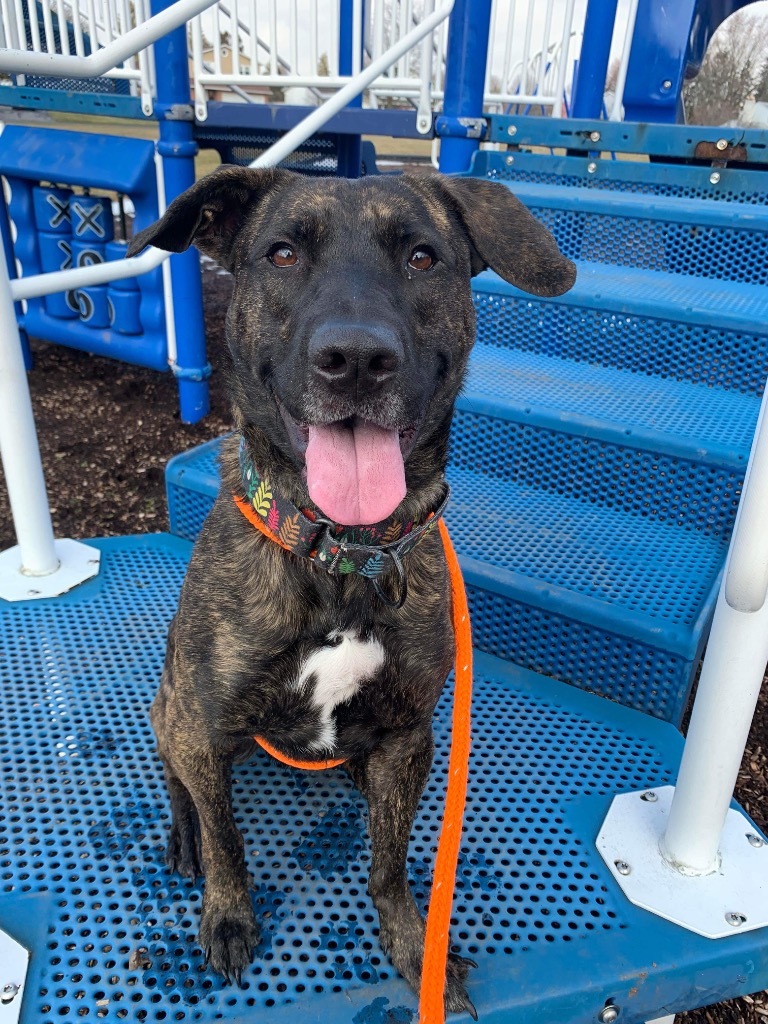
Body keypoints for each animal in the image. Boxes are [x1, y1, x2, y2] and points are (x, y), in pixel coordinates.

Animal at [129, 163, 577, 1011]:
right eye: (280, 254)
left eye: (423, 258)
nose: (358, 358)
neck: (343, 555)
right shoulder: (205, 721)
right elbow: (229, 840)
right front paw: (228, 915)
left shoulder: (408, 735)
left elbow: (390, 863)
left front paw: (411, 943)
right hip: (169, 708)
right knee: (183, 785)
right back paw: (182, 834)